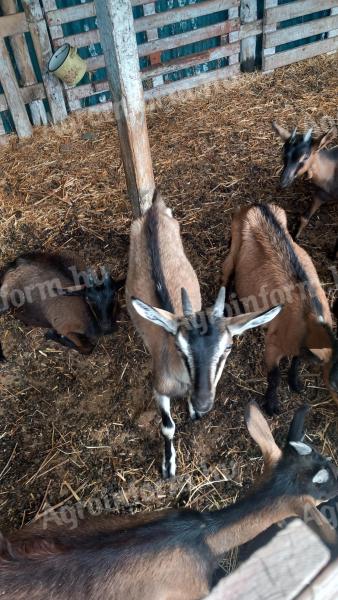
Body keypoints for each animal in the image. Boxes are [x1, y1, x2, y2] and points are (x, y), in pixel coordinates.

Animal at [125, 195, 282, 476]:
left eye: (228, 348)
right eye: (179, 347)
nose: (203, 402)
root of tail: (152, 211)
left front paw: (193, 411)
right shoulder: (158, 388)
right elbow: (167, 427)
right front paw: (168, 466)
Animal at [222, 204, 338, 414]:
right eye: (334, 384)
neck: (311, 319)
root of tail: (258, 206)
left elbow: (297, 360)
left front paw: (295, 383)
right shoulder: (273, 343)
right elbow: (274, 376)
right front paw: (272, 406)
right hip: (235, 244)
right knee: (227, 271)